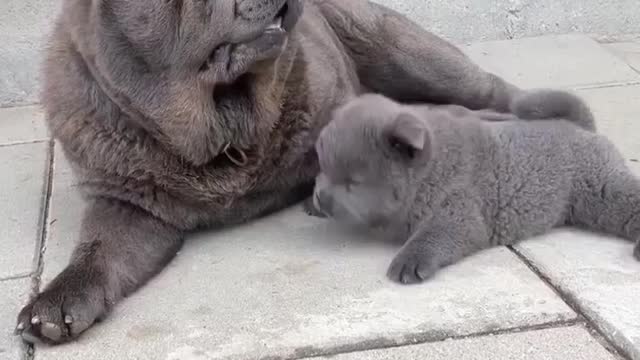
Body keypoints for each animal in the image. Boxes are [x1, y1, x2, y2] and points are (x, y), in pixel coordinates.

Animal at [312, 90, 640, 284]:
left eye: (352, 182)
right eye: (323, 168)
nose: (319, 197)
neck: (430, 170)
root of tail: (580, 125)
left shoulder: (459, 212)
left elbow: (433, 236)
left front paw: (409, 261)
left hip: (601, 189)